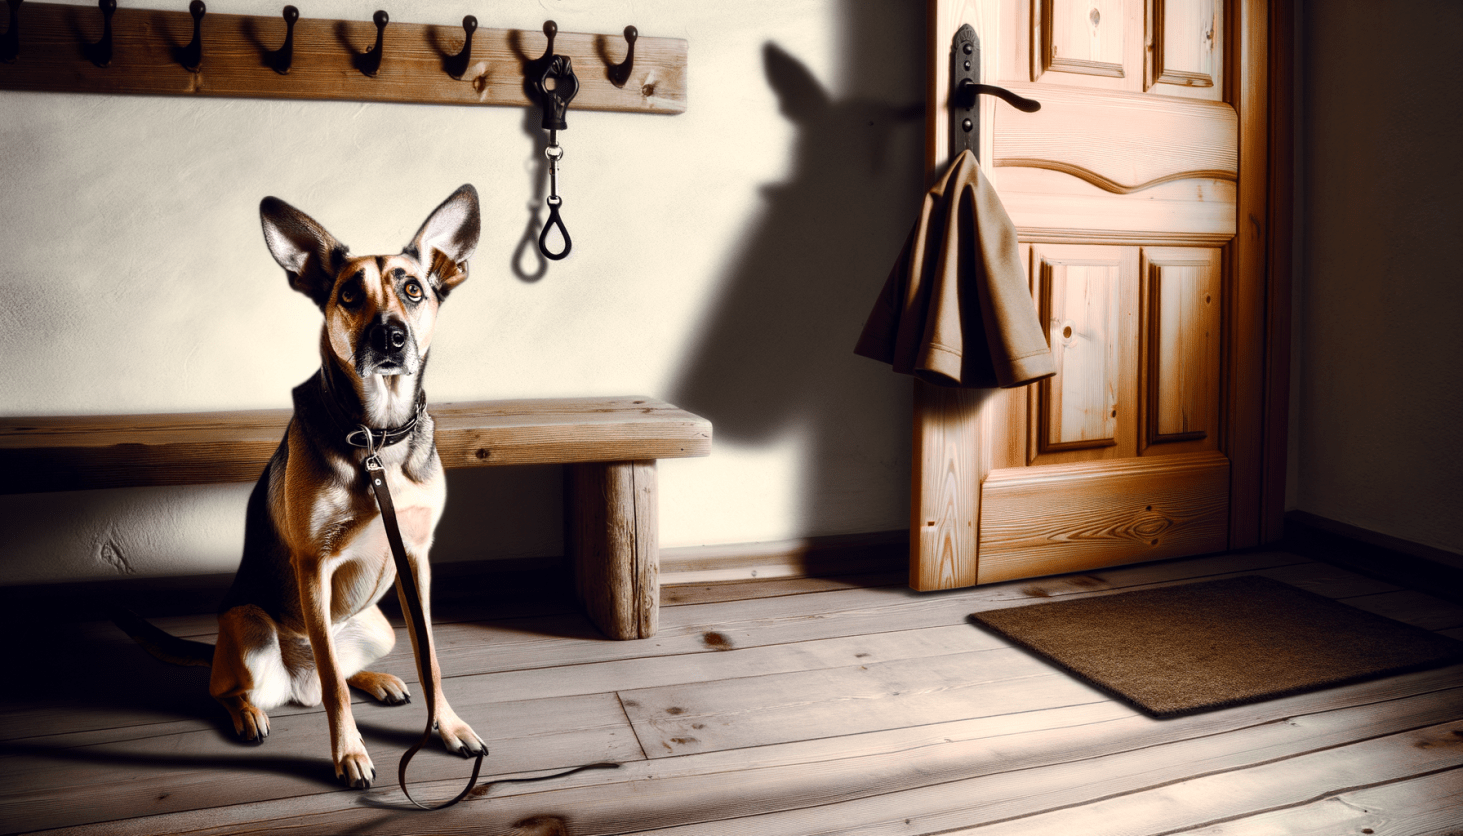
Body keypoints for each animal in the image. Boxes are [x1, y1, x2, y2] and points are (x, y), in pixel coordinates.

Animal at [118, 184, 485, 790]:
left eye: (412, 289)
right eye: (349, 294)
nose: (391, 337)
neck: (376, 435)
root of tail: (295, 680)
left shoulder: (416, 558)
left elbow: (429, 657)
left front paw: (448, 726)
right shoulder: (313, 564)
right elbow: (336, 686)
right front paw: (350, 753)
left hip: (378, 626)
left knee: (338, 668)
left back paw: (377, 681)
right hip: (248, 628)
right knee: (241, 687)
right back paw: (248, 713)